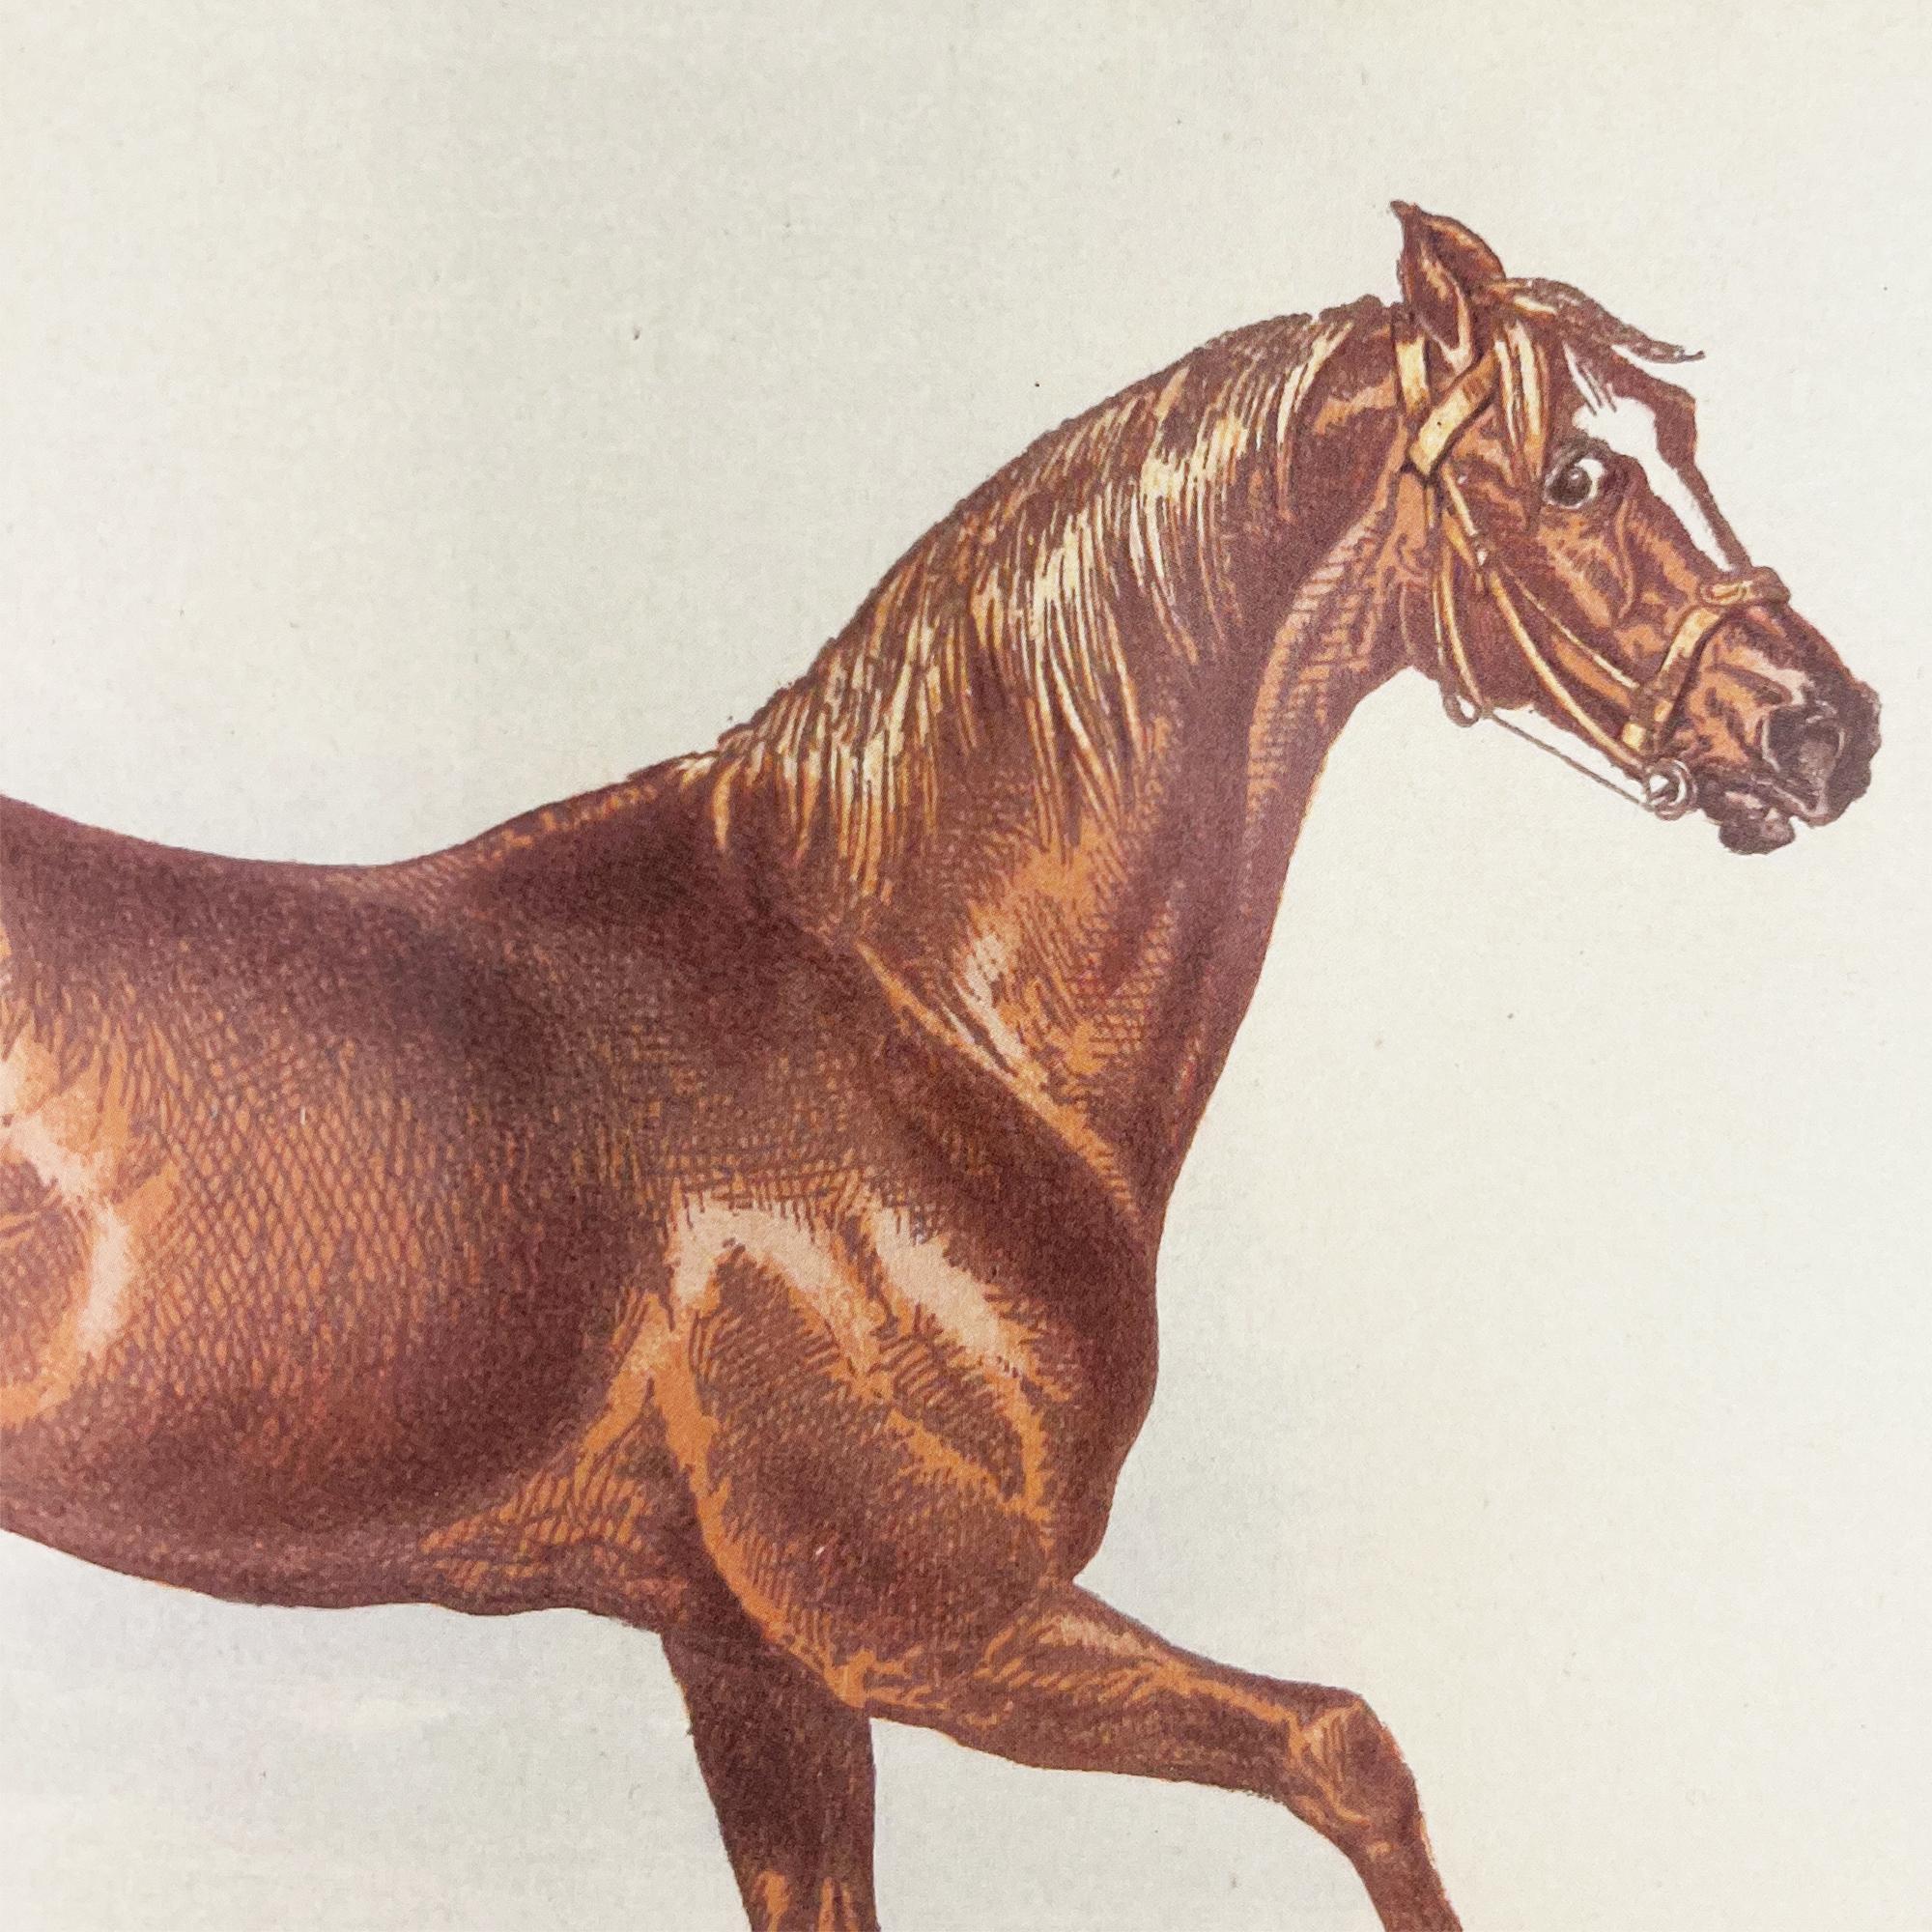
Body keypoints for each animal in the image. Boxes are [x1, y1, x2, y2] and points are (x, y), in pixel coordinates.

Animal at [0, 203, 1878, 1931]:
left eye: (1679, 433)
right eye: (1577, 474)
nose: (1830, 730)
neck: (906, 1012)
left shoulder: (758, 1662)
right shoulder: (927, 1626)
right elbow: (1348, 1746)